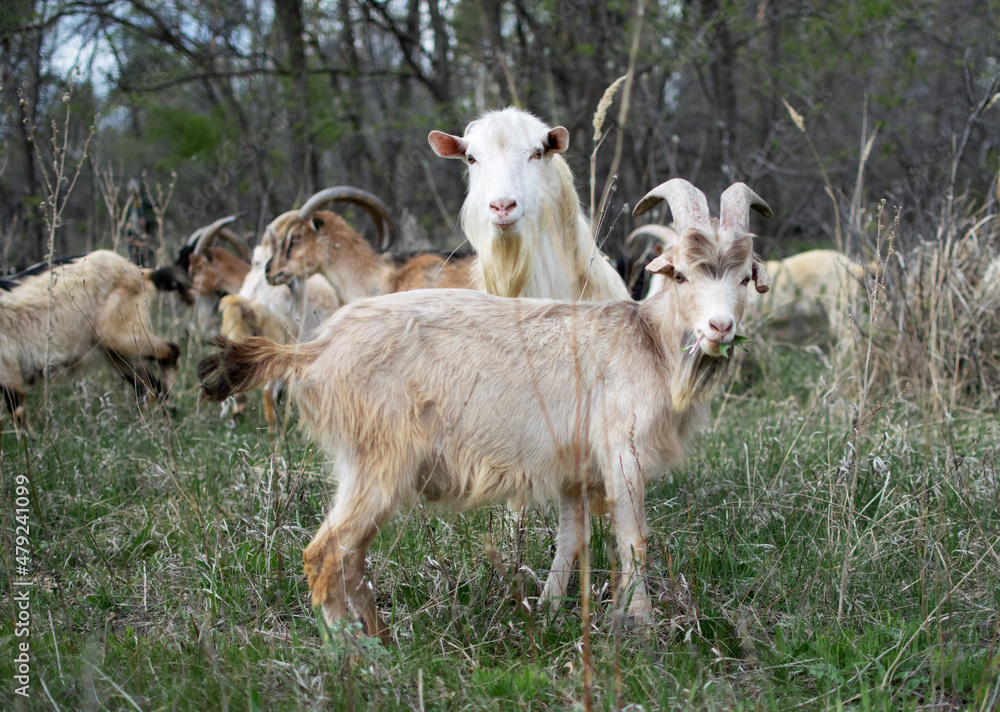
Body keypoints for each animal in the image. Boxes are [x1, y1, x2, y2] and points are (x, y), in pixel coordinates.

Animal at [1, 249, 184, 428]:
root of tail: (141, 271)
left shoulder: (10, 375)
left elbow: (19, 421)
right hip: (116, 355)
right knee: (149, 384)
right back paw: (145, 423)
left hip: (118, 337)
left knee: (171, 352)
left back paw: (162, 413)